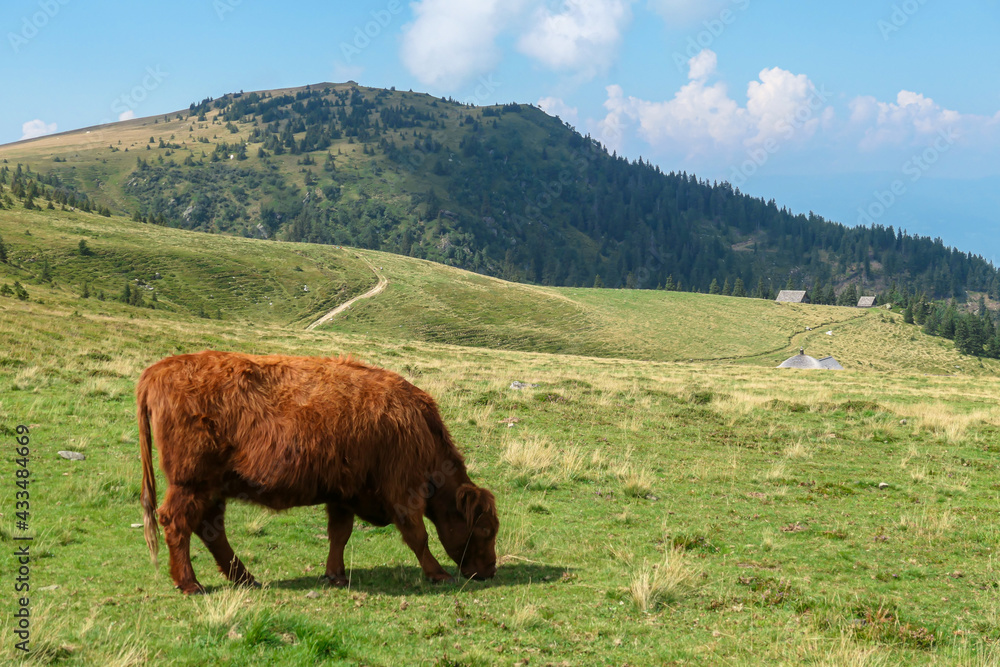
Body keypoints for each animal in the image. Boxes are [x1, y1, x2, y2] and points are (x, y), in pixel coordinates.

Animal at [137, 350, 499, 594]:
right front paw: (438, 574)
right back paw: (190, 584)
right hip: (191, 483)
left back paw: (246, 578)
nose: (490, 570)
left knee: (211, 530)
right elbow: (418, 536)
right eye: (484, 530)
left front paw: (336, 574)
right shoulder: (403, 493)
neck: (420, 427)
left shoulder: (343, 495)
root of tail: (158, 370)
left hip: (212, 488)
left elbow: (340, 534)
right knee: (178, 523)